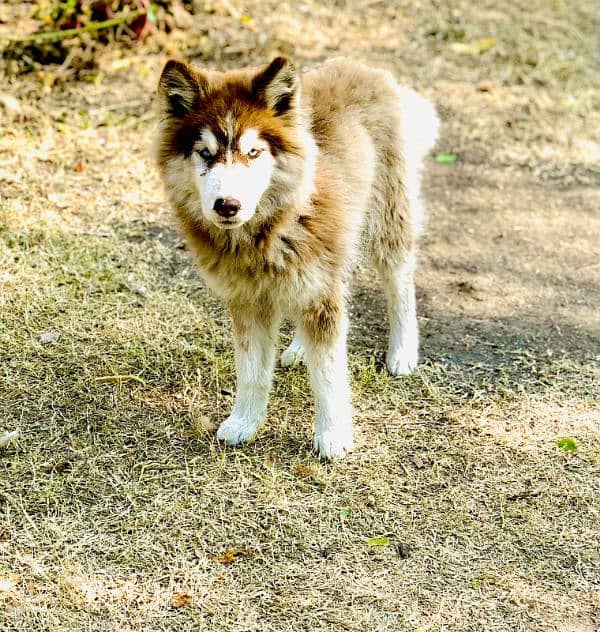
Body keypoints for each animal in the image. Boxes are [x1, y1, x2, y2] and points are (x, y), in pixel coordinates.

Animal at [155, 56, 436, 456]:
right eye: (205, 154)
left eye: (253, 152)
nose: (227, 205)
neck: (271, 229)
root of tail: (363, 67)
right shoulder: (248, 301)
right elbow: (252, 371)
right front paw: (245, 422)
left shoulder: (319, 292)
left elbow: (328, 374)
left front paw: (332, 435)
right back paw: (301, 348)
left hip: (387, 222)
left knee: (400, 287)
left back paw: (402, 351)